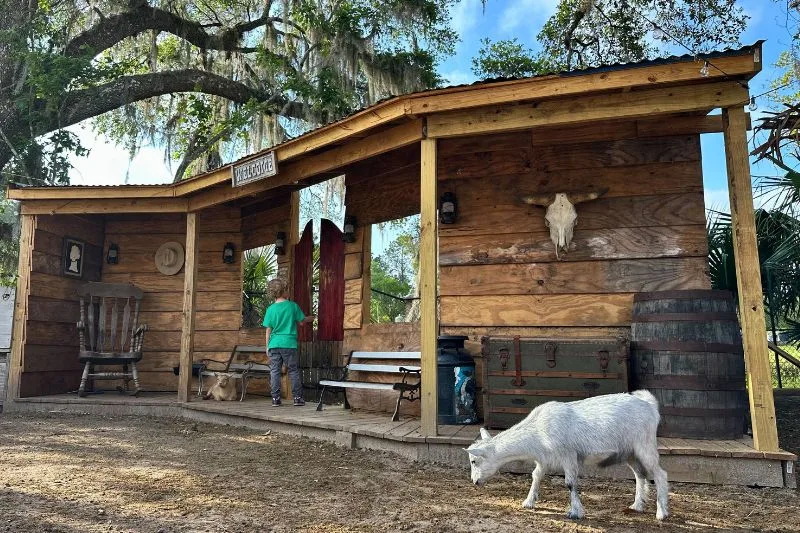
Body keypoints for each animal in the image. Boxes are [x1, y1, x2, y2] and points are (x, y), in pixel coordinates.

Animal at [465, 390, 668, 521]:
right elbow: (536, 476)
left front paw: (575, 512)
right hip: (630, 453)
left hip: (645, 445)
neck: (537, 431)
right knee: (640, 475)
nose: (475, 482)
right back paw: (637, 506)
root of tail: (650, 406)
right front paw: (529, 502)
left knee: (660, 474)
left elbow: (570, 483)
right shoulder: (544, 459)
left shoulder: (569, 455)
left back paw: (661, 513)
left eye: (474, 461)